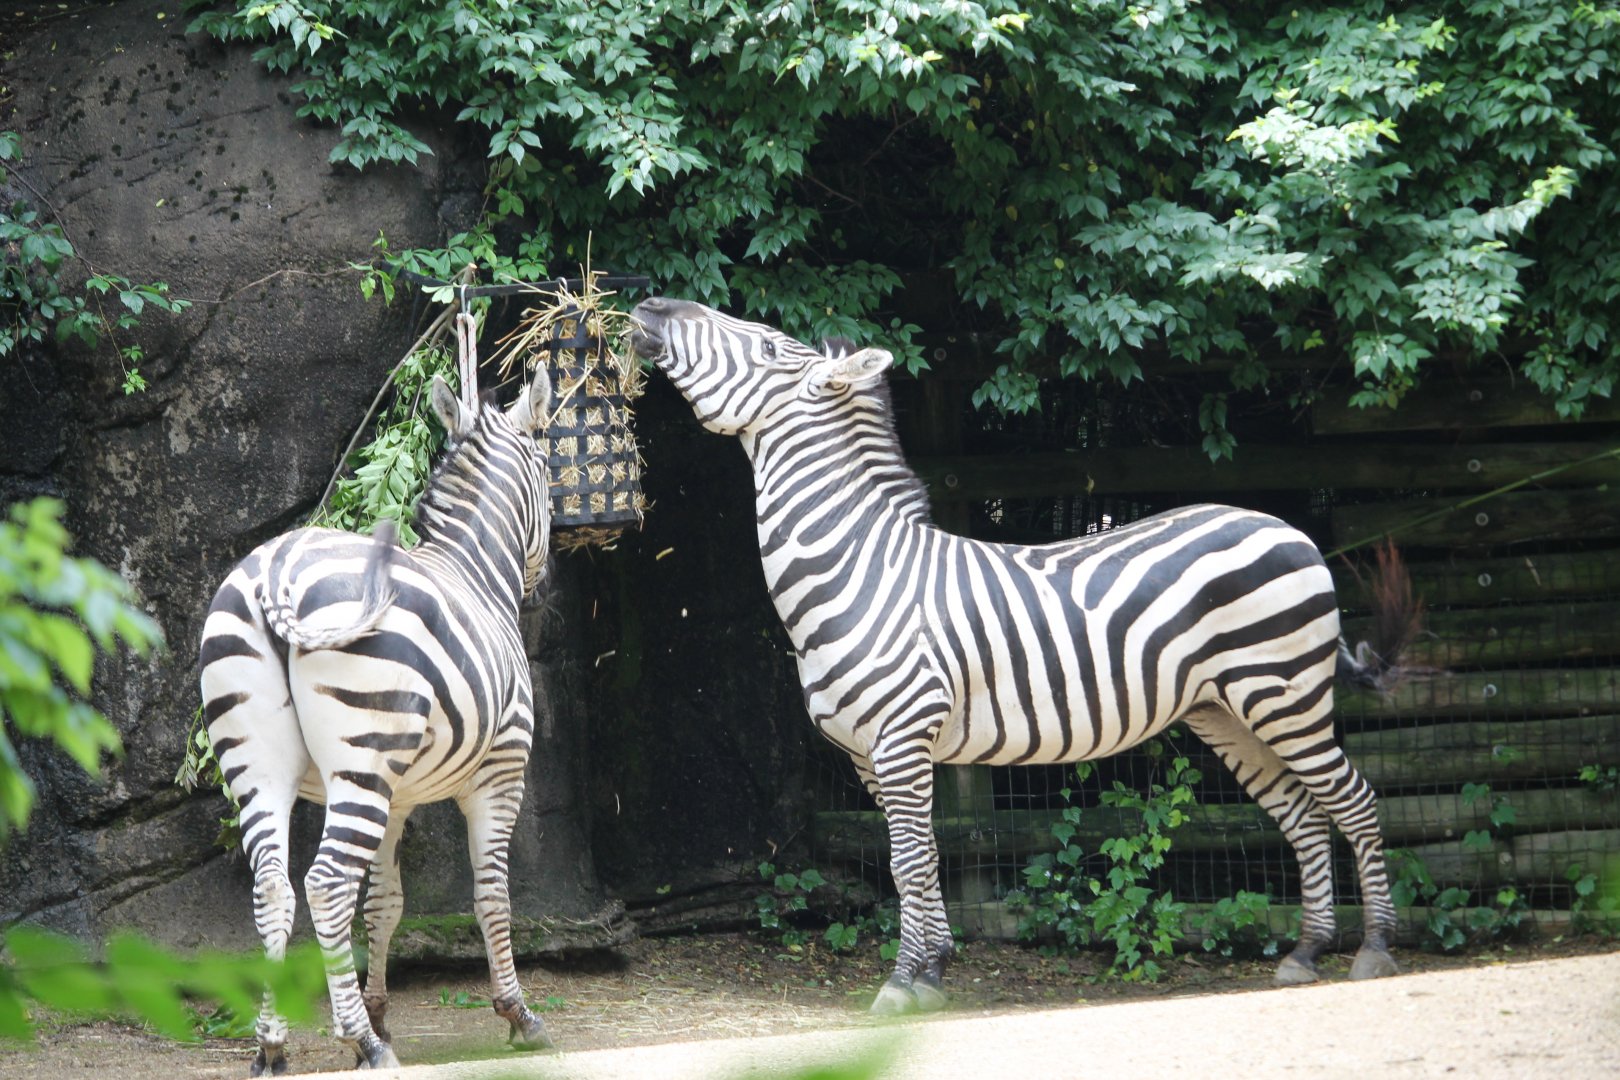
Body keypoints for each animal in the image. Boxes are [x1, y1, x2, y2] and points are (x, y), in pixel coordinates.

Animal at [198, 369, 555, 1072]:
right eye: (551, 480)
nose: (543, 579)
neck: (475, 570)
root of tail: (277, 570)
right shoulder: (501, 774)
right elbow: (492, 894)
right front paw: (516, 1014)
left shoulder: (401, 796)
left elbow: (387, 904)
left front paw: (383, 1012)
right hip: (361, 761)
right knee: (327, 883)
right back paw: (359, 1041)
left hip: (261, 764)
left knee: (274, 887)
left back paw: (273, 1045)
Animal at [629, 296, 1412, 1014]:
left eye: (764, 346)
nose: (649, 303)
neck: (856, 569)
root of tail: (1290, 529)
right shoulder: (866, 753)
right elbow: (920, 857)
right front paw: (934, 970)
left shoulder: (902, 736)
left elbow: (906, 859)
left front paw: (902, 983)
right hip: (1225, 709)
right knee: (1302, 814)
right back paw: (1306, 952)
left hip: (1284, 692)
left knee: (1356, 801)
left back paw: (1374, 947)